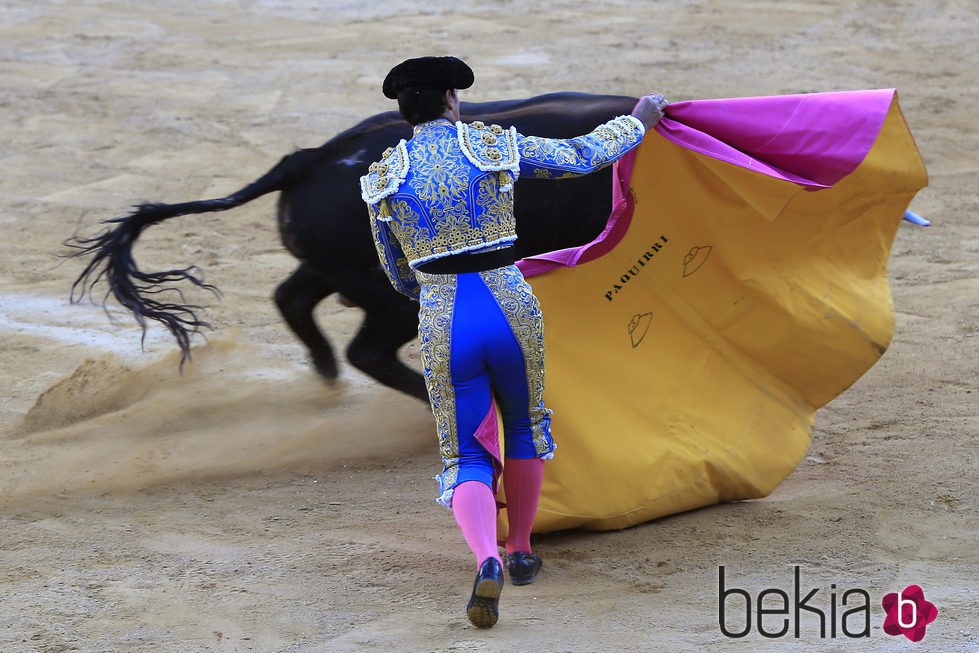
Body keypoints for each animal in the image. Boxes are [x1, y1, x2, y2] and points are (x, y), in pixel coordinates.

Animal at [67, 91, 636, 398]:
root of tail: (309, 158)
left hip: (332, 268)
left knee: (292, 298)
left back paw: (327, 377)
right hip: (392, 294)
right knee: (367, 350)